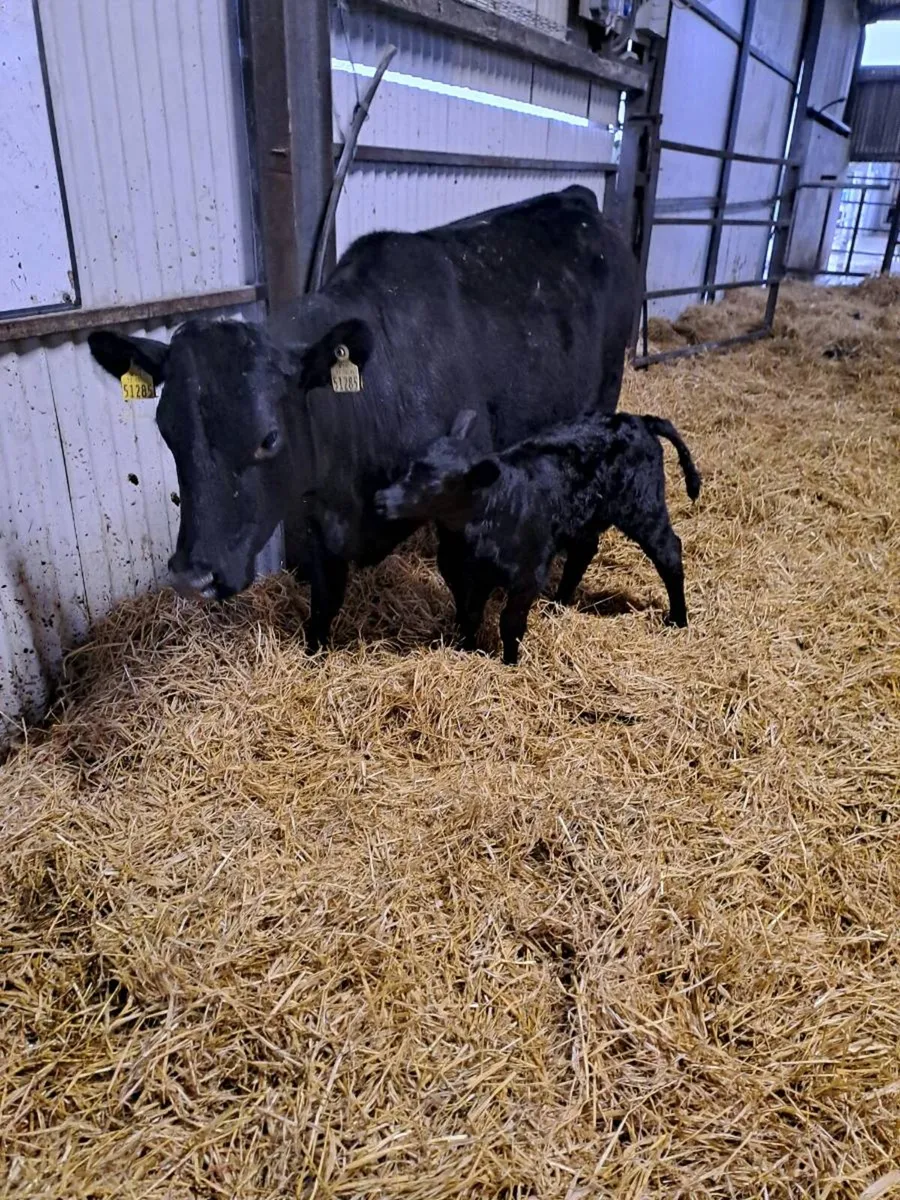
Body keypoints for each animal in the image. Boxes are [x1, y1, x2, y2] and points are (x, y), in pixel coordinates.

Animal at [87, 186, 638, 651]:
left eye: (269, 438)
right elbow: (325, 596)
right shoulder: (315, 513)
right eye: (166, 430)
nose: (193, 577)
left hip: (604, 396)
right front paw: (314, 652)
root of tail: (577, 199)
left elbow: (463, 585)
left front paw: (468, 647)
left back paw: (563, 596)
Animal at [375, 410, 702, 664]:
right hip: (587, 516)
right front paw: (465, 651)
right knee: (583, 553)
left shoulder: (527, 574)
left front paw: (509, 663)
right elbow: (469, 615)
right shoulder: (462, 574)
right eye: (409, 468)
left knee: (669, 550)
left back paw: (678, 619)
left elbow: (510, 623)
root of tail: (639, 420)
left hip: (643, 504)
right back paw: (558, 604)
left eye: (435, 485)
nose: (381, 500)